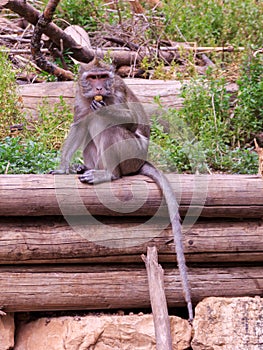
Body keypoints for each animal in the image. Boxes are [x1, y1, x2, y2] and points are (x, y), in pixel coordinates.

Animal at [51, 58, 194, 322]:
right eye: (92, 77)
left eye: (102, 77)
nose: (98, 89)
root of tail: (140, 161)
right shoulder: (80, 96)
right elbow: (79, 124)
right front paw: (63, 167)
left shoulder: (117, 93)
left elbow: (127, 119)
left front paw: (105, 108)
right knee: (90, 127)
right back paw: (88, 167)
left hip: (131, 154)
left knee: (108, 128)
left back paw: (108, 173)